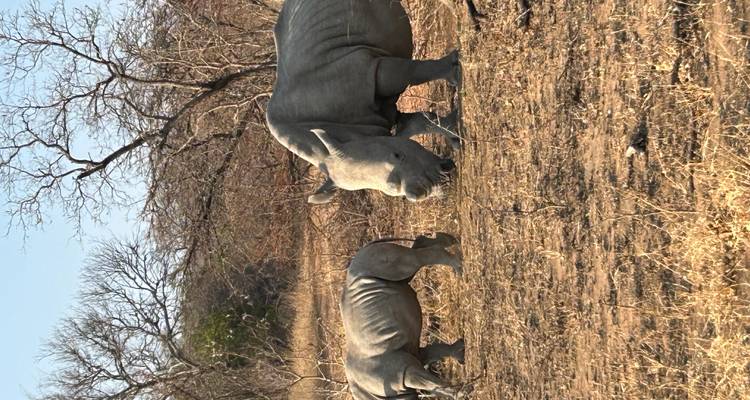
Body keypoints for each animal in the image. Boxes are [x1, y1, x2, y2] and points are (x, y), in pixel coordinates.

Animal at [266, 0, 463, 204]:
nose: (419, 193)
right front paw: (455, 137)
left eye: (397, 155)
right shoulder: (375, 121)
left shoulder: (369, 70)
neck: (344, 134)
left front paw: (456, 73)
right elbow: (416, 123)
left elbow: (412, 72)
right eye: (394, 190)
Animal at [340, 233, 469, 399]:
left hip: (372, 263)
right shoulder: (412, 356)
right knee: (407, 272)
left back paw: (459, 267)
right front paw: (461, 353)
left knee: (410, 264)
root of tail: (360, 252)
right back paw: (451, 242)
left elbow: (429, 382)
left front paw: (463, 391)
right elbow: (436, 354)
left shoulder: (402, 371)